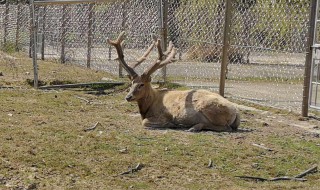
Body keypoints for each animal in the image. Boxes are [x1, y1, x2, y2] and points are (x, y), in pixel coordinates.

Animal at [107, 31, 240, 132]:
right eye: (131, 83)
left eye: (141, 84)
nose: (128, 97)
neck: (148, 107)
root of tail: (236, 112)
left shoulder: (164, 114)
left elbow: (144, 122)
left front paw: (171, 124)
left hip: (209, 108)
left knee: (226, 127)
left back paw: (193, 127)